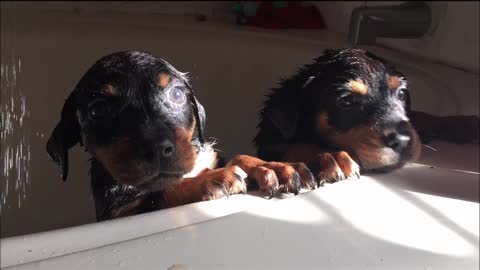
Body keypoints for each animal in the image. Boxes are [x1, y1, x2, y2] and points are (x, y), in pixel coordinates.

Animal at [46, 51, 251, 221]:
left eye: (177, 94)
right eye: (97, 110)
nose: (157, 148)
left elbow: (238, 157)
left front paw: (257, 164)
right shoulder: (121, 213)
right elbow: (162, 194)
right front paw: (211, 179)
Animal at [231, 48, 422, 187]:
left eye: (401, 93)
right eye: (345, 101)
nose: (404, 140)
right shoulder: (271, 141)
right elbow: (294, 146)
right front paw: (330, 158)